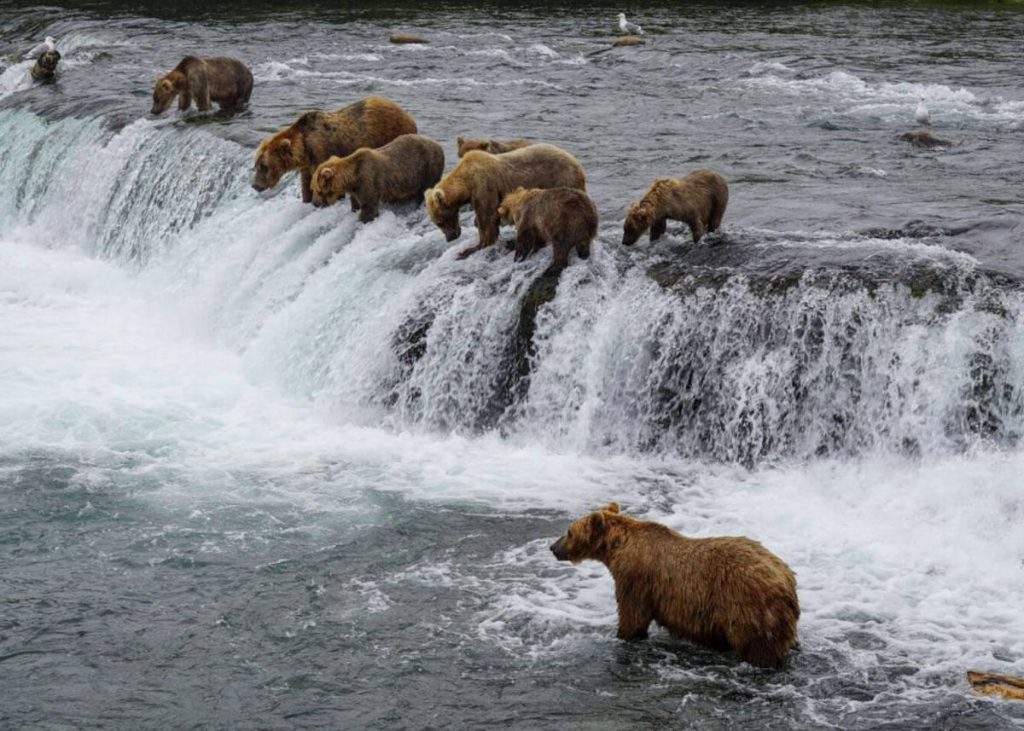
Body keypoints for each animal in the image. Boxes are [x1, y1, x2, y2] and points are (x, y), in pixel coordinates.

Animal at [251, 95, 415, 201]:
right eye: (256, 165)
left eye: (263, 166)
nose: (255, 185)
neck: (304, 149)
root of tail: (408, 115)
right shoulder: (307, 165)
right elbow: (306, 183)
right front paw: (307, 199)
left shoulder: (321, 152)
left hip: (390, 132)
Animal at [307, 132, 444, 221]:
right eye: (313, 188)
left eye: (316, 189)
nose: (315, 203)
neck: (352, 178)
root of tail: (438, 145)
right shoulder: (356, 189)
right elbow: (356, 202)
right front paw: (355, 209)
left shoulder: (368, 180)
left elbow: (369, 206)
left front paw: (364, 218)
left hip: (427, 167)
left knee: (425, 190)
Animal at [421, 142, 585, 259]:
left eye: (440, 221)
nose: (450, 237)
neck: (467, 183)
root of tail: (578, 164)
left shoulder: (484, 185)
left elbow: (487, 218)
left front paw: (470, 249)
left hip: (561, 179)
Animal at [552, 501, 798, 667]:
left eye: (569, 531)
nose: (553, 547)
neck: (617, 548)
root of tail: (785, 578)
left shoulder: (635, 578)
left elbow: (633, 616)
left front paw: (623, 635)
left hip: (747, 607)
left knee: (758, 647)